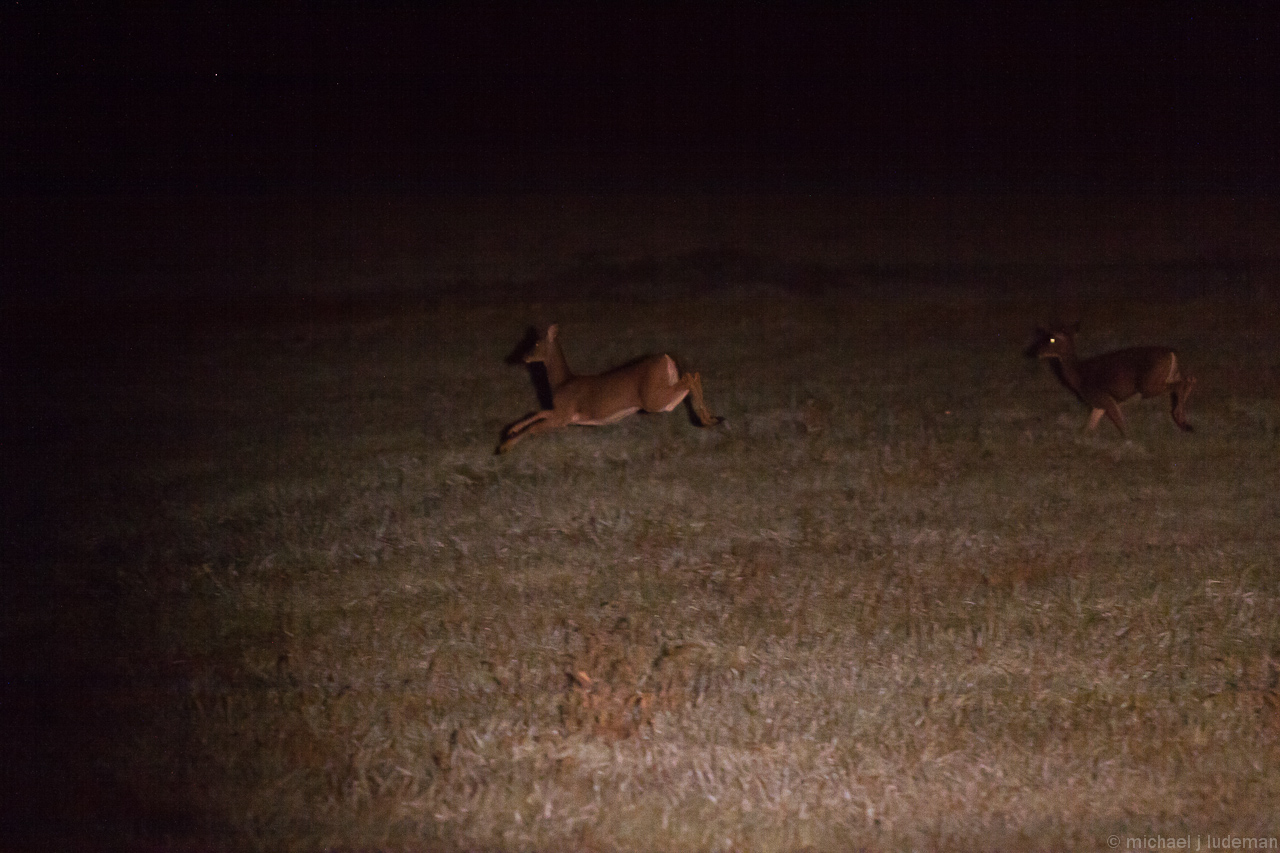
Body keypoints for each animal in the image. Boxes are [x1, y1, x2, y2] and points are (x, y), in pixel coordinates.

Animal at [497, 324, 725, 454]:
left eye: (535, 344)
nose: (523, 357)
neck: (562, 382)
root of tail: (666, 357)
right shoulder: (561, 412)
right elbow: (537, 412)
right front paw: (510, 430)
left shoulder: (564, 415)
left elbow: (535, 426)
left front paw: (504, 447)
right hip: (662, 393)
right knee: (693, 376)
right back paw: (712, 419)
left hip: (652, 398)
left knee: (689, 378)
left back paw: (705, 419)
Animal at [1028, 321, 1195, 438]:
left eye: (1051, 339)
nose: (1036, 352)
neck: (1079, 375)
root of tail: (1172, 352)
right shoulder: (1098, 405)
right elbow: (1088, 428)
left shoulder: (1104, 398)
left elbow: (1122, 426)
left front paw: (1128, 440)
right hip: (1169, 375)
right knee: (1190, 379)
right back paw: (1184, 423)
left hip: (1149, 384)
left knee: (1182, 384)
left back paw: (1179, 418)